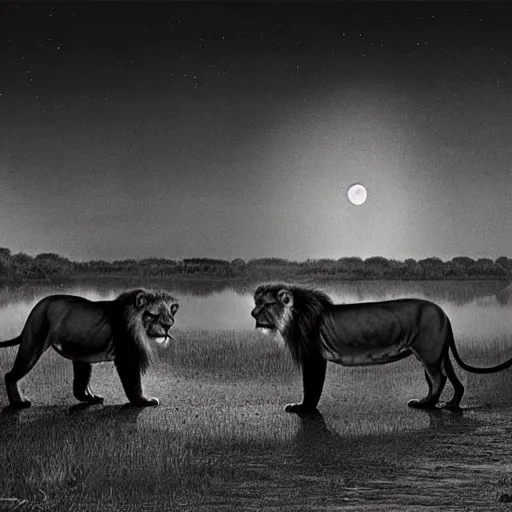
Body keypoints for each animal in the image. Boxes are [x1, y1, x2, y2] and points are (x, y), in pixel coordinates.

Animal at [0, 288, 179, 408]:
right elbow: (134, 384)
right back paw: (19, 403)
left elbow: (82, 384)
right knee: (10, 375)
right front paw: (143, 401)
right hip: (33, 344)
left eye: (170, 315)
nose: (168, 326)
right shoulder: (126, 357)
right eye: (153, 314)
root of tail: (36, 308)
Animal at [253, 282, 512, 414]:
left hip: (428, 353)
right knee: (452, 381)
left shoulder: (313, 357)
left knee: (439, 379)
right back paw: (450, 404)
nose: (253, 313)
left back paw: (424, 404)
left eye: (266, 305)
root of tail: (444, 313)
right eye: (256, 303)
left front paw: (302, 408)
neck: (292, 316)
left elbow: (312, 386)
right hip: (437, 353)